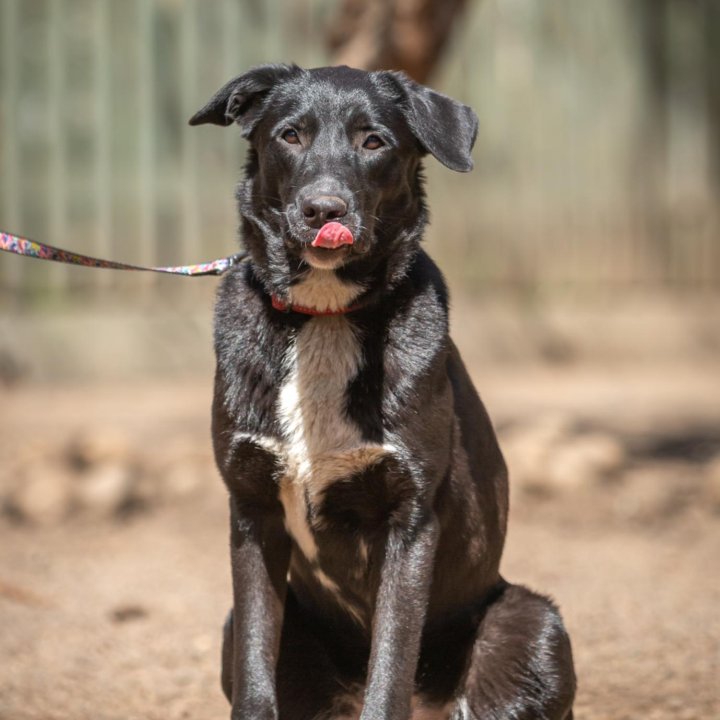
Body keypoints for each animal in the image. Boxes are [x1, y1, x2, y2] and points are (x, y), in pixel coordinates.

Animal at [190, 63, 572, 720]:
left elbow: (390, 666)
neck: (324, 315)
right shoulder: (252, 508)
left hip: (535, 625)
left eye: (374, 142)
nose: (324, 209)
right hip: (241, 628)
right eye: (290, 135)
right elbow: (256, 672)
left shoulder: (409, 519)